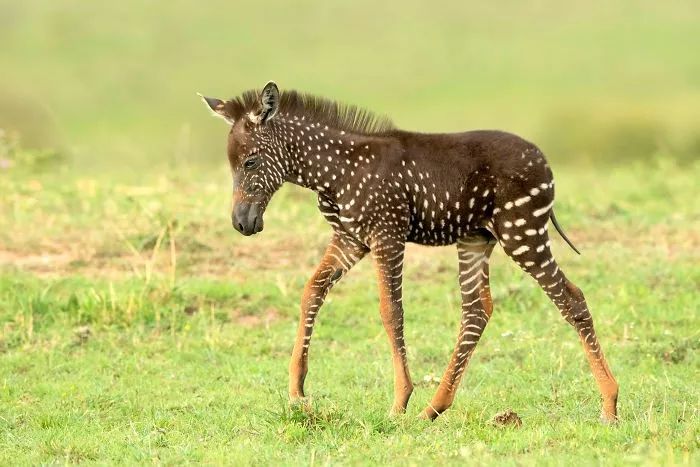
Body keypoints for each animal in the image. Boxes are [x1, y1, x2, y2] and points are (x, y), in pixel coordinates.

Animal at [197, 80, 616, 424]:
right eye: (231, 165)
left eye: (250, 161)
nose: (242, 223)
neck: (334, 172)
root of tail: (545, 164)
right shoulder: (350, 239)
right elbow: (311, 291)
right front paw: (297, 389)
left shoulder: (387, 235)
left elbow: (390, 311)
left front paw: (400, 401)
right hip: (476, 239)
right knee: (477, 311)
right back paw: (435, 408)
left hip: (523, 233)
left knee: (571, 298)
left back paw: (610, 404)